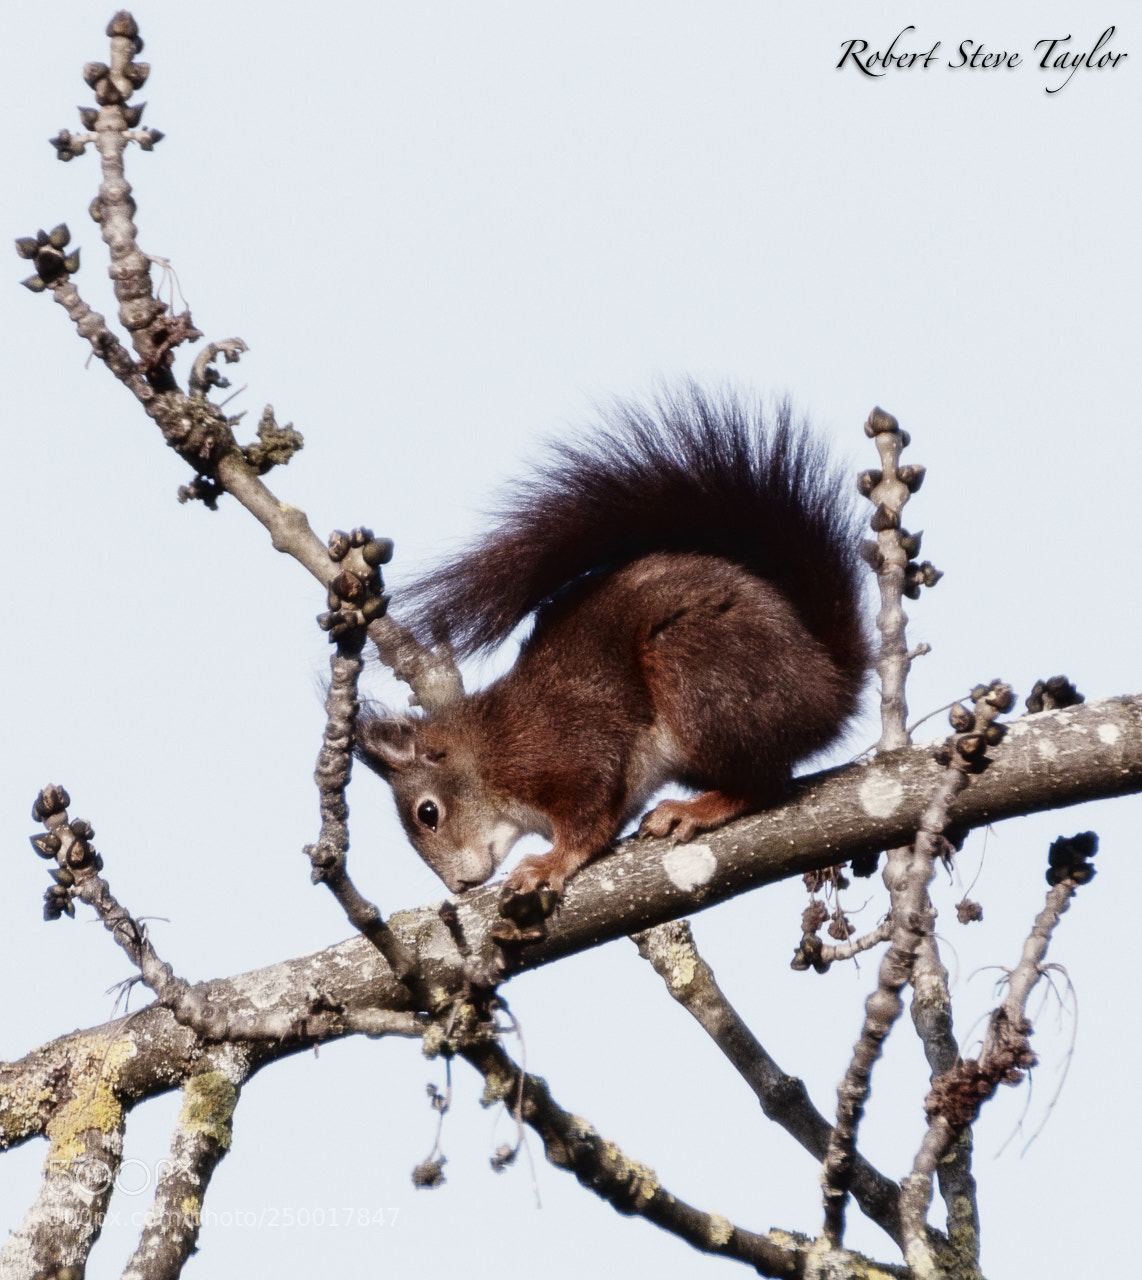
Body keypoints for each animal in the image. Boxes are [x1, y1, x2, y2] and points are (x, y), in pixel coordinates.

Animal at [357, 385, 869, 899]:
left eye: (429, 813)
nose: (459, 886)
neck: (485, 754)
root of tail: (830, 684)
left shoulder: (563, 750)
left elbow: (590, 819)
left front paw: (550, 863)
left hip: (695, 670)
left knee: (767, 785)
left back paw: (695, 809)